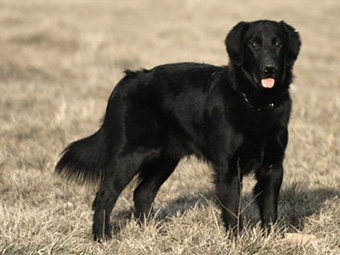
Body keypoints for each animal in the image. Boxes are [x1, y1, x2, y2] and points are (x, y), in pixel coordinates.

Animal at [55, 20, 300, 241]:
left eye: (277, 43)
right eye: (254, 44)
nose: (270, 68)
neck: (257, 104)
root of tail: (127, 79)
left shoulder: (273, 167)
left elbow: (270, 210)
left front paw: (271, 240)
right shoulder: (229, 169)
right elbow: (232, 211)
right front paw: (237, 242)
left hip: (165, 159)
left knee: (142, 193)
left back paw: (149, 234)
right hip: (129, 155)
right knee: (105, 195)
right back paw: (102, 238)